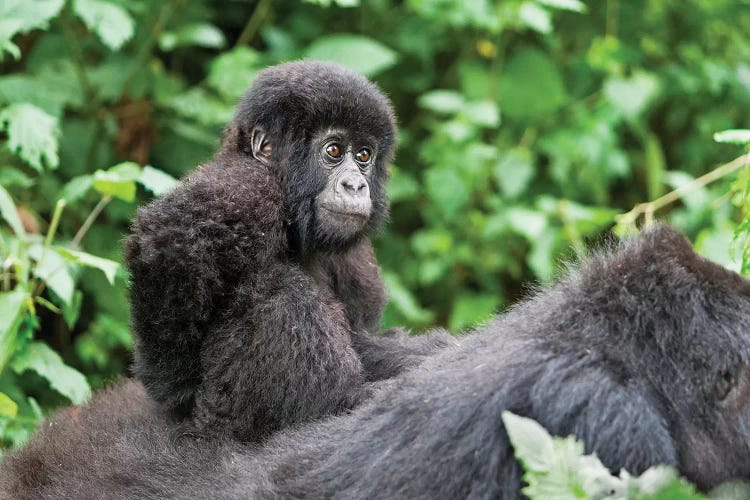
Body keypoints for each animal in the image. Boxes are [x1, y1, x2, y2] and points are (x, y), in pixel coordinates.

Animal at [125, 59, 452, 442]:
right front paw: (176, 389)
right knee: (279, 289)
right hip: (222, 418)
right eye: (333, 151)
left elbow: (362, 332)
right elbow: (168, 238)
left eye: (364, 156)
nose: (356, 185)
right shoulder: (248, 187)